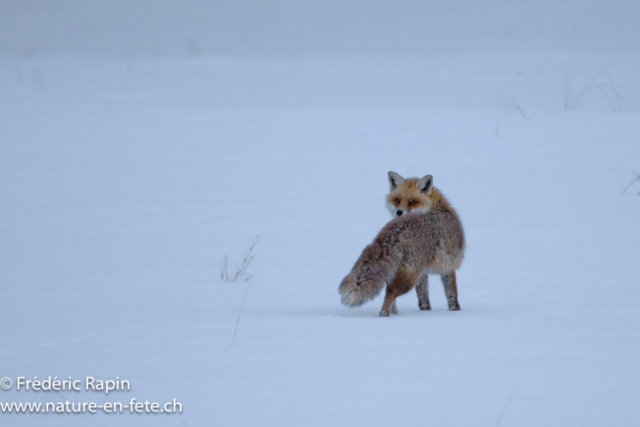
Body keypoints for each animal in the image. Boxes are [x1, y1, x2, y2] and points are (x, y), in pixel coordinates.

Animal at [339, 172, 465, 316]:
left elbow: (423, 298)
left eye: (413, 202)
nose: (399, 212)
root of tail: (396, 230)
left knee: (388, 290)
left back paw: (393, 313)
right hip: (410, 275)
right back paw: (383, 315)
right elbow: (451, 293)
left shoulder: (423, 273)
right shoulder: (448, 265)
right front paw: (455, 310)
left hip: (397, 270)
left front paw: (425, 312)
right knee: (391, 291)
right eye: (397, 200)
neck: (437, 206)